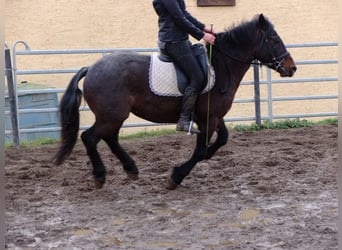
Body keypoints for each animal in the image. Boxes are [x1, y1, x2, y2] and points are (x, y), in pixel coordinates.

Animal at [53, 13, 296, 189]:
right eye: (274, 40)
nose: (292, 68)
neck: (220, 65)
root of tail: (91, 68)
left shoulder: (213, 116)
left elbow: (222, 140)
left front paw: (205, 156)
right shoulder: (208, 119)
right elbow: (199, 151)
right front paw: (176, 176)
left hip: (113, 116)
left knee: (109, 138)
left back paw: (131, 169)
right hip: (111, 116)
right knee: (90, 138)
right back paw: (100, 176)